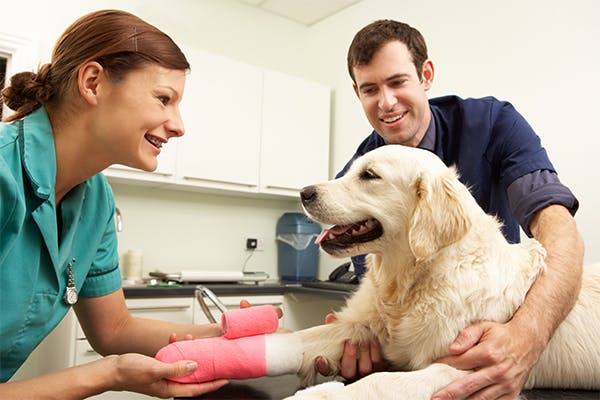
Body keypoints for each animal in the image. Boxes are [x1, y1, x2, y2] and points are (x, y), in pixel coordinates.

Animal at [288, 145, 596, 398]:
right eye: (352, 170)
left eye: (370, 175)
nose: (304, 193)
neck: (412, 282)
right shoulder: (361, 326)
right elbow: (301, 338)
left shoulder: (472, 367)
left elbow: (377, 382)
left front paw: (316, 394)